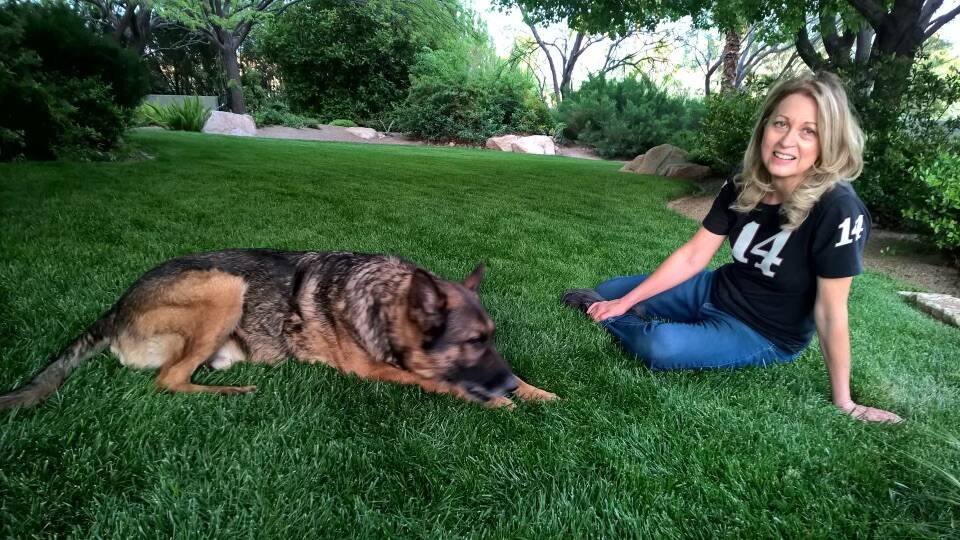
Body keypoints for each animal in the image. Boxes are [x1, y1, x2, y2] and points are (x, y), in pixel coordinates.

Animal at [0, 249, 556, 410]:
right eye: (472, 343)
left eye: (492, 338)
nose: (508, 384)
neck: (381, 301)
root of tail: (116, 308)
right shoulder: (374, 373)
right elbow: (439, 382)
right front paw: (500, 401)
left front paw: (535, 392)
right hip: (224, 286)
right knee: (168, 380)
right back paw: (231, 392)